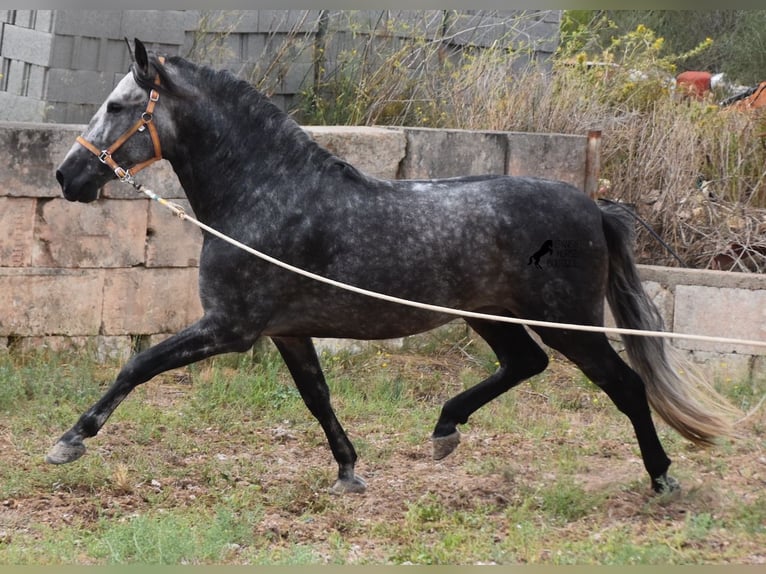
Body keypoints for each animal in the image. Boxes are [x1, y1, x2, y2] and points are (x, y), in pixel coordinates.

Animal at [51, 40, 736, 498]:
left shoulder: (230, 328)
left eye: (119, 106)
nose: (66, 176)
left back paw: (662, 479)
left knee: (625, 386)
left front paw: (71, 439)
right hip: (491, 314)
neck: (266, 194)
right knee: (526, 364)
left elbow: (138, 364)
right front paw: (348, 471)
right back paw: (445, 429)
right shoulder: (287, 331)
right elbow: (318, 397)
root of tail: (593, 207)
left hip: (567, 321)